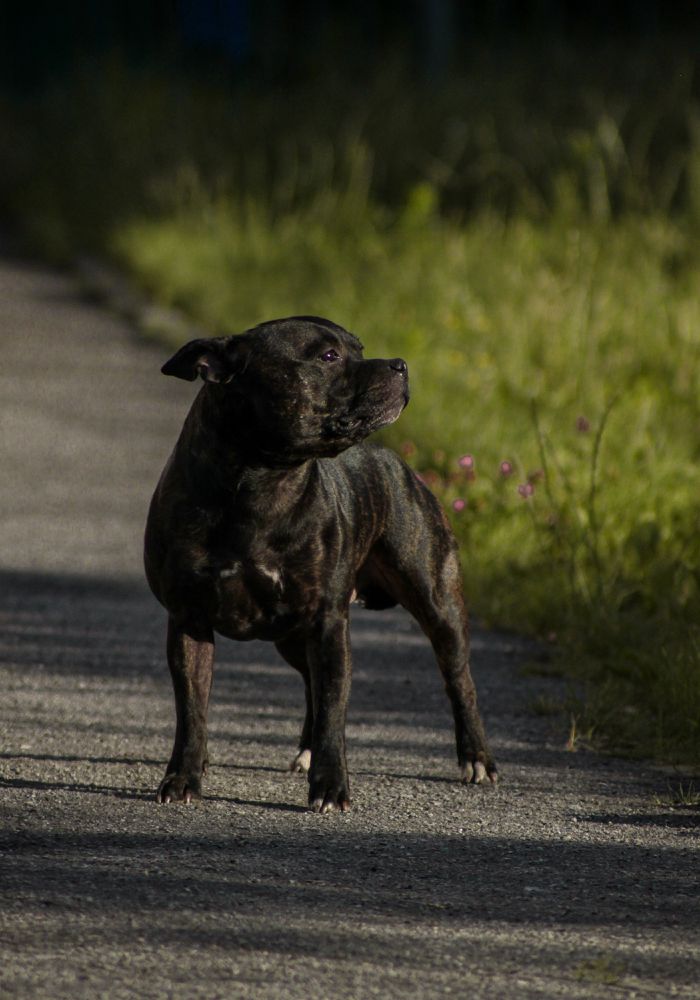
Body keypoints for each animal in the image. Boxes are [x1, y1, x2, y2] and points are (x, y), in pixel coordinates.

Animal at [145, 316, 494, 808]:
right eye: (328, 356)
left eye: (359, 348)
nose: (400, 364)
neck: (262, 484)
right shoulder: (188, 619)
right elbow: (193, 709)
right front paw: (183, 777)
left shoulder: (328, 623)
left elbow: (334, 708)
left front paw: (330, 786)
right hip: (291, 636)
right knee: (309, 680)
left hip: (437, 604)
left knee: (459, 680)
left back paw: (477, 758)